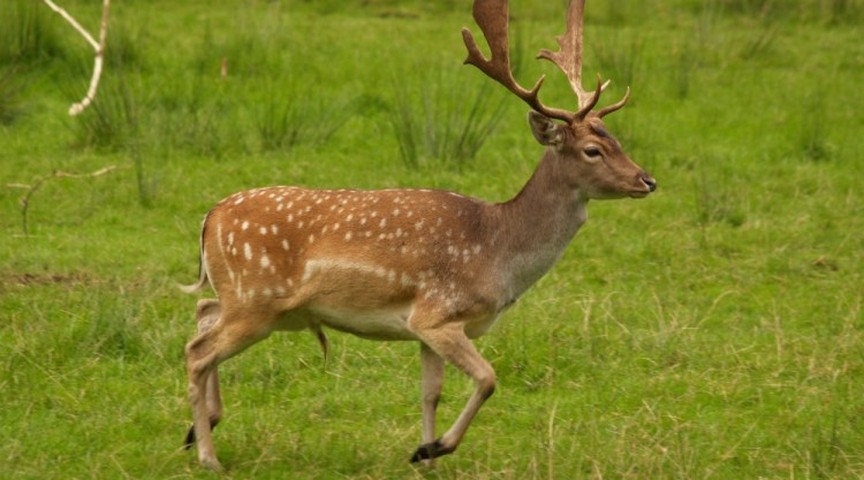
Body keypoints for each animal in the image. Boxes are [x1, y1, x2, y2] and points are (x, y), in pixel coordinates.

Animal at [181, 0, 656, 468]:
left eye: (617, 139)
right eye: (592, 151)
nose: (647, 180)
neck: (498, 252)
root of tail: (210, 216)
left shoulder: (426, 329)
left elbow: (431, 393)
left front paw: (425, 458)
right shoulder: (438, 313)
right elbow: (488, 378)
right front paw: (434, 448)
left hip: (251, 302)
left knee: (203, 312)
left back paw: (197, 429)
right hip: (255, 300)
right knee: (198, 351)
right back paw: (207, 455)